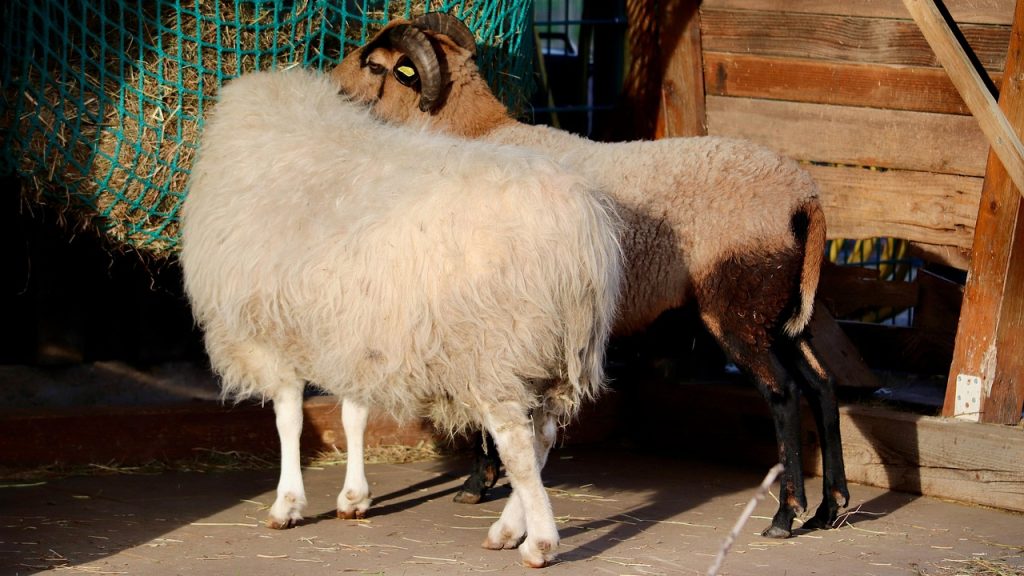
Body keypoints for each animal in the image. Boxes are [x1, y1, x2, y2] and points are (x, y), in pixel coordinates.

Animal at [179, 68, 618, 565]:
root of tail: (577, 226)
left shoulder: (271, 333)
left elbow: (289, 420)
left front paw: (287, 503)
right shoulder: (356, 332)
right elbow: (353, 415)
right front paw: (353, 498)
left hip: (495, 349)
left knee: (519, 447)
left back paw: (538, 543)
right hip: (553, 355)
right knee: (543, 437)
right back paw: (507, 528)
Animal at [331, 11, 851, 537]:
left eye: (375, 65)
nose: (331, 88)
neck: (476, 133)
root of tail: (805, 198)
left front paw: (476, 484)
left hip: (737, 303)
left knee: (783, 394)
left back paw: (786, 514)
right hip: (781, 308)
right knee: (822, 385)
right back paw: (831, 506)